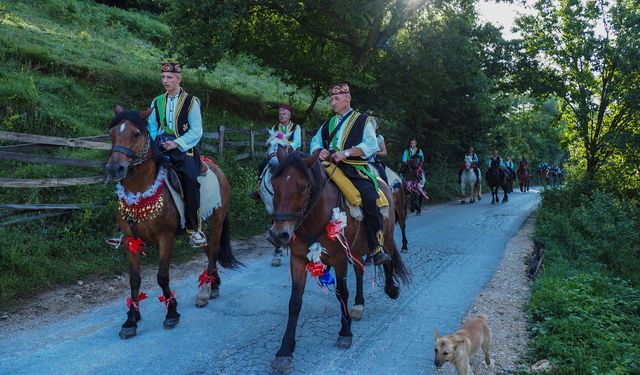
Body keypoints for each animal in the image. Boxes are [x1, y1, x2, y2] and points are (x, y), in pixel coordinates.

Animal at [105, 106, 240, 340]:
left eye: (136, 134)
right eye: (112, 133)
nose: (115, 169)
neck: (140, 191)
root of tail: (217, 168)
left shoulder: (165, 238)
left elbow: (162, 277)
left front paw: (171, 312)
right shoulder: (131, 241)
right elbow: (134, 280)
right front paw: (131, 319)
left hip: (217, 221)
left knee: (213, 251)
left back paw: (205, 292)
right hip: (197, 228)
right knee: (208, 250)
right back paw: (213, 285)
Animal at [266, 150, 408, 374]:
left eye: (303, 187)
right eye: (275, 184)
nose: (278, 235)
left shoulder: (340, 258)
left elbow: (342, 293)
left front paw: (345, 332)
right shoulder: (298, 260)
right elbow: (295, 302)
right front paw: (285, 351)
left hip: (386, 235)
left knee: (387, 259)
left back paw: (391, 289)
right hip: (357, 248)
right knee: (359, 271)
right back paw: (359, 305)